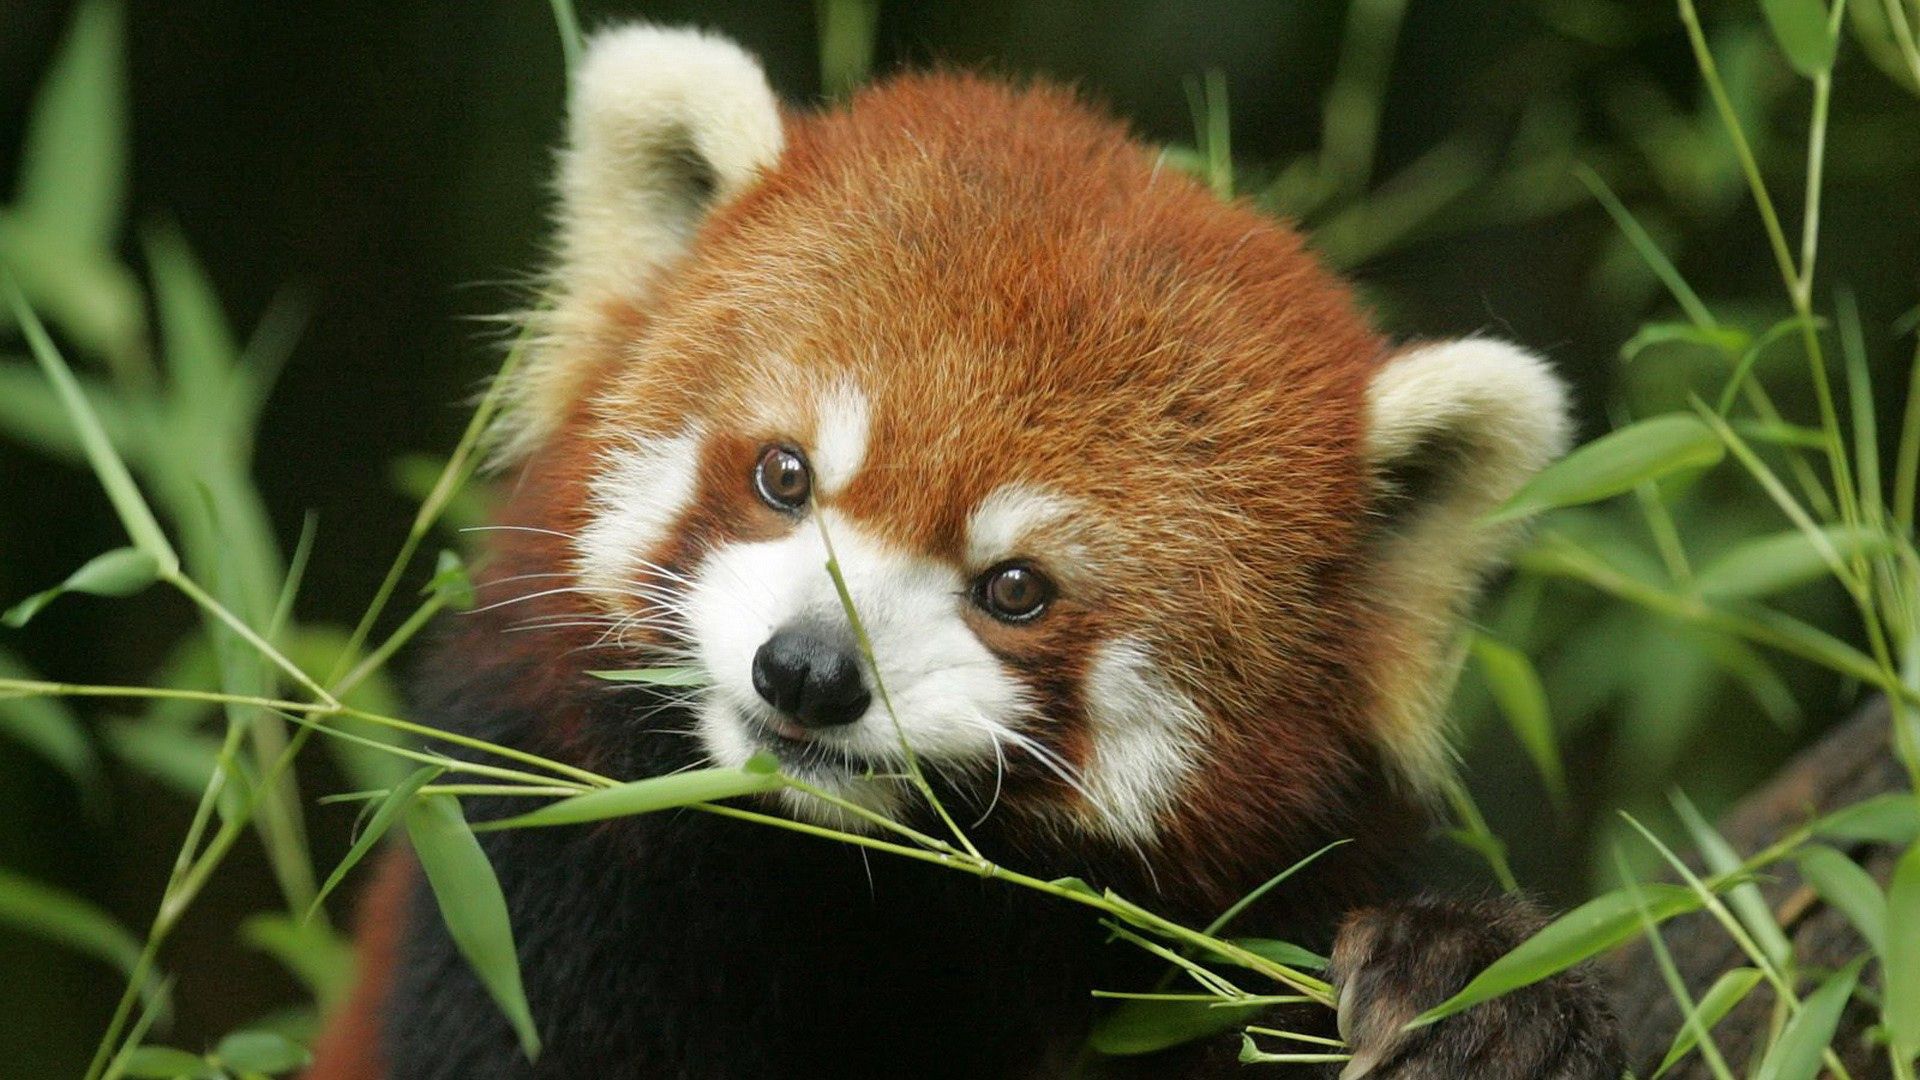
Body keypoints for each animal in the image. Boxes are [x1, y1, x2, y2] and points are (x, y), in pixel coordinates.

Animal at [307, 21, 1628, 1068]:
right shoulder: (542, 897)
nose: (810, 672)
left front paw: (1472, 992)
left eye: (1017, 588)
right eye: (785, 475)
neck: (860, 891)